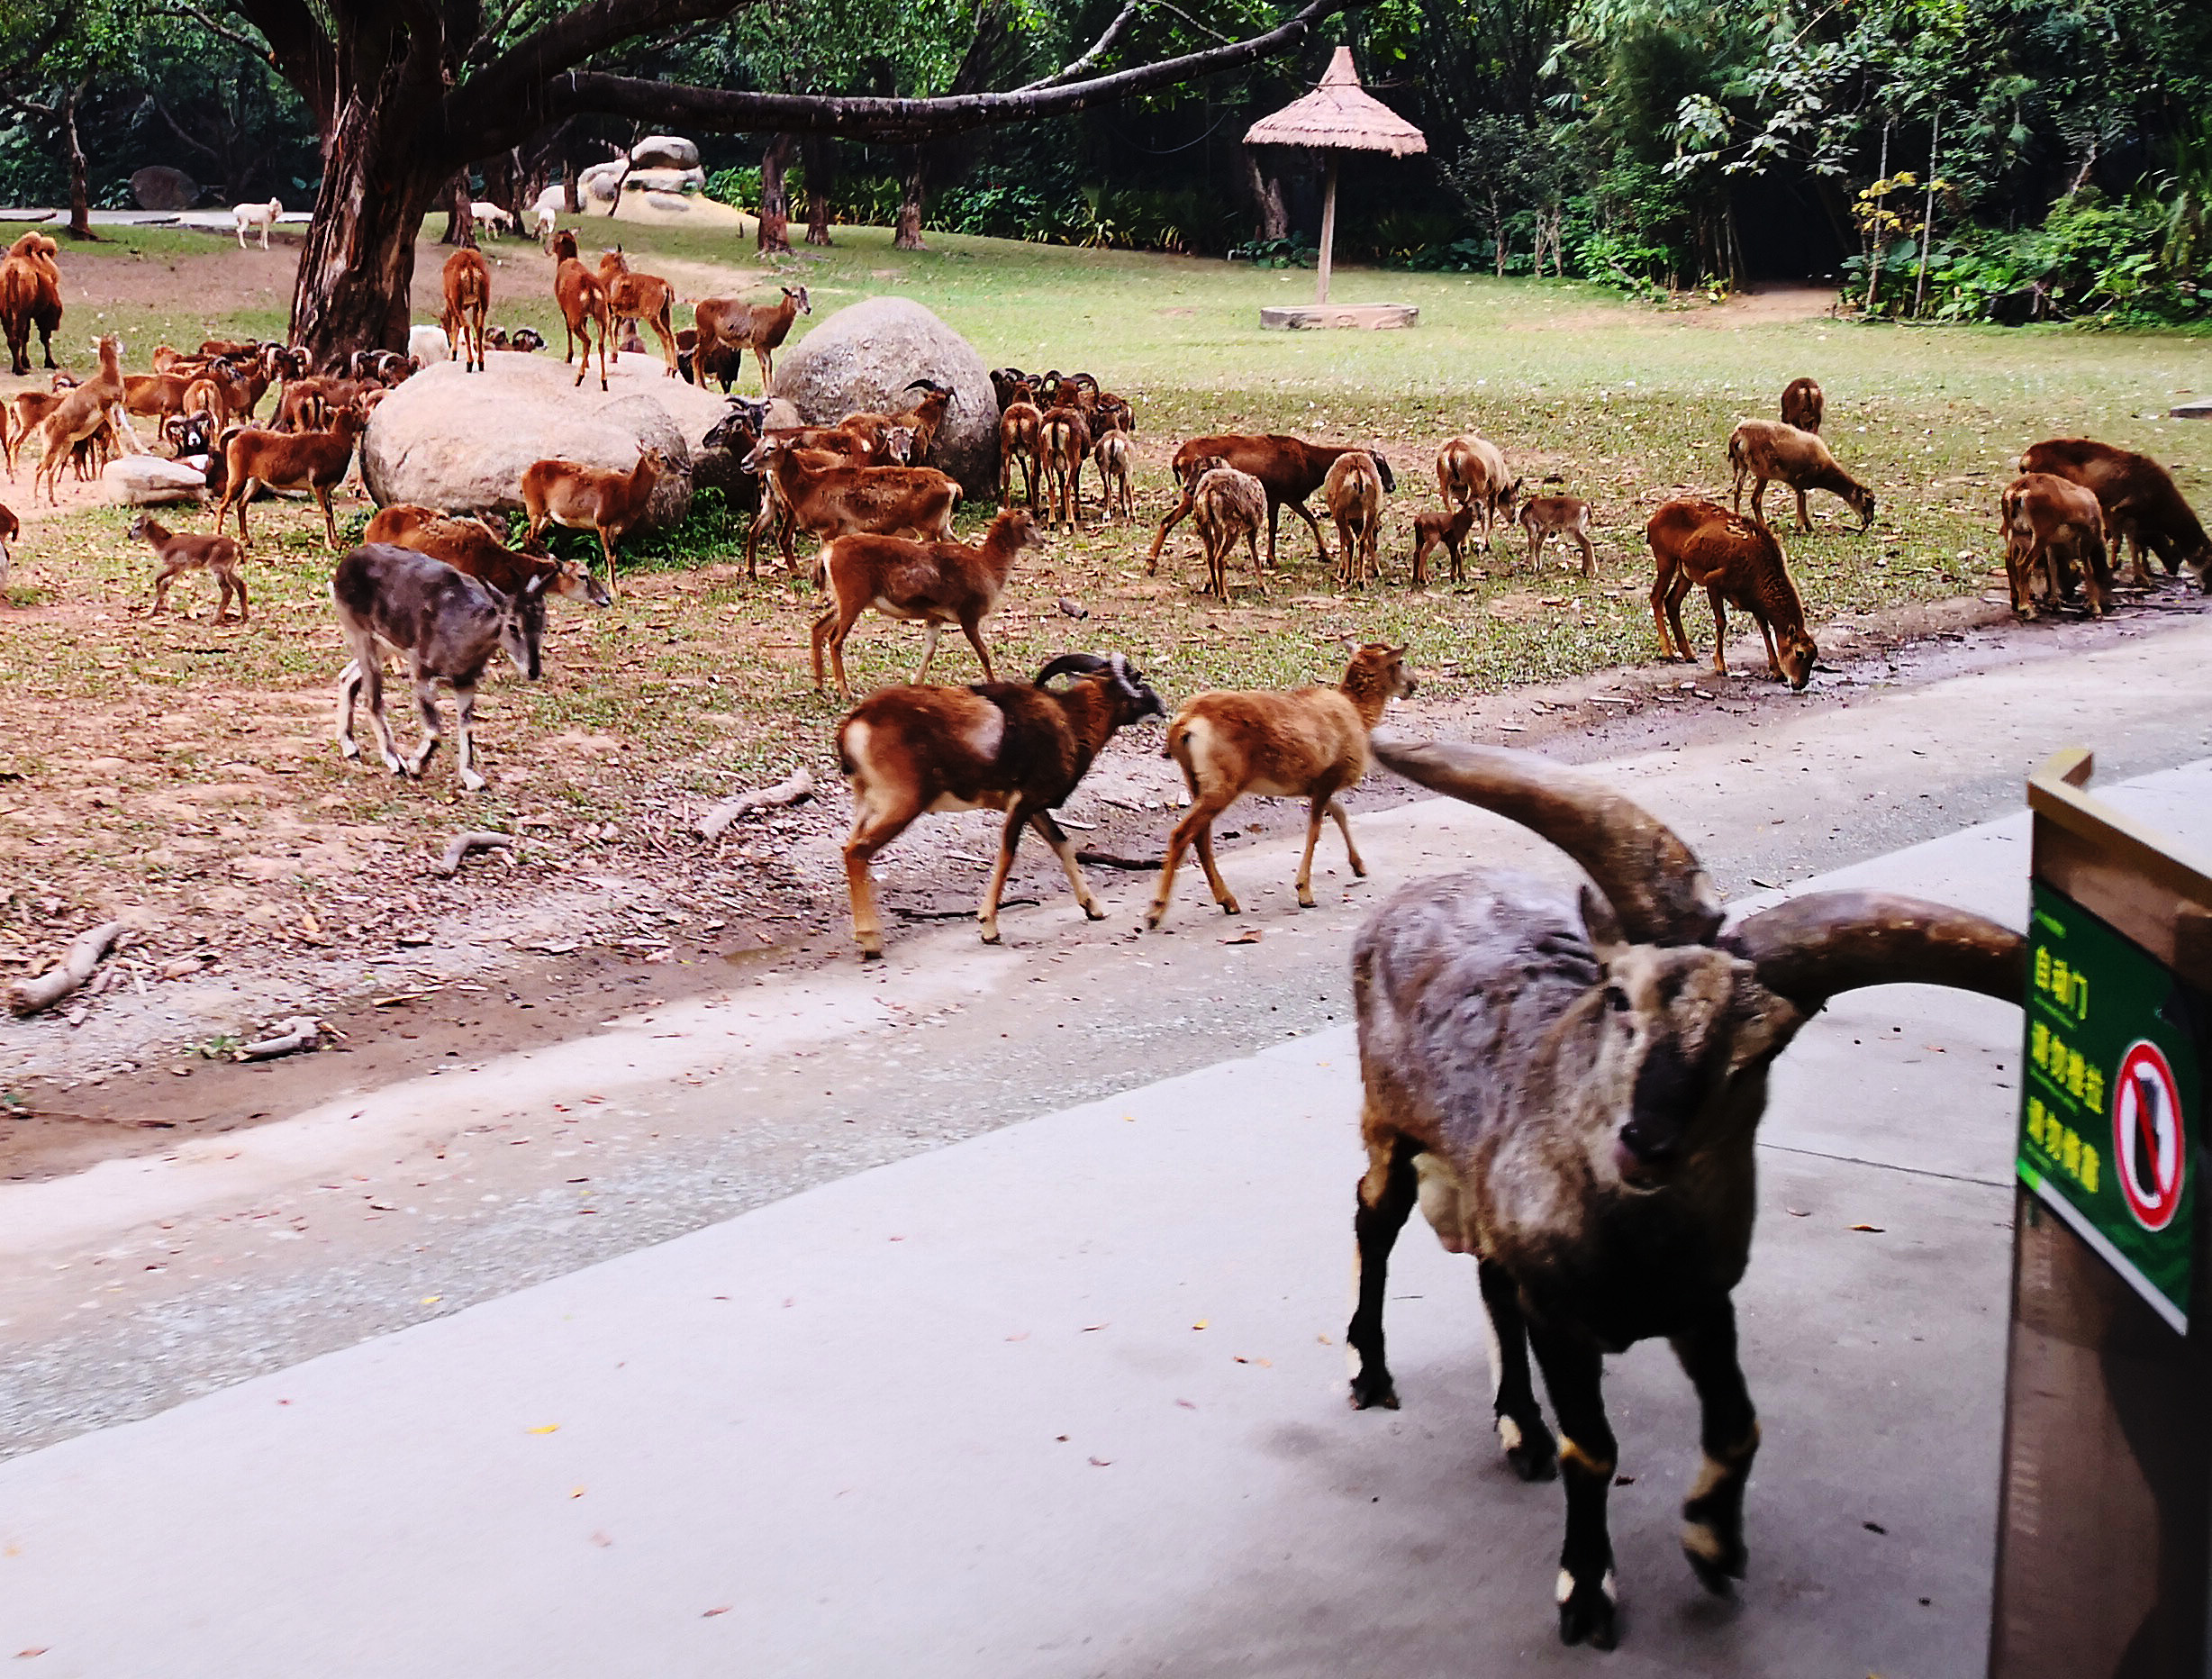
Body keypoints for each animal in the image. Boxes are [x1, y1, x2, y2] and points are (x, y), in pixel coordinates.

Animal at [331, 544, 548, 796]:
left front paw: (472, 778)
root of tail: (344, 565)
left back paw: (350, 747)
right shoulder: (420, 670)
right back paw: (394, 761)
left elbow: (467, 726)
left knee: (348, 677)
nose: (533, 671)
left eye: (542, 625)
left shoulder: (466, 681)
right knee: (372, 699)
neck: (460, 636)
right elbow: (435, 729)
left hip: (383, 644)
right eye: (513, 625)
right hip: (361, 632)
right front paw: (415, 765)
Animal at [831, 654, 1167, 951]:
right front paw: (989, 928)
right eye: (1138, 679)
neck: (1071, 721)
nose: (1162, 706)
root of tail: (857, 724)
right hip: (902, 805)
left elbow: (1062, 844)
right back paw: (871, 942)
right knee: (857, 852)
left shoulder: (1035, 808)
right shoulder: (1022, 804)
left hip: (868, 805)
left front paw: (1094, 909)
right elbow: (1007, 855)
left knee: (849, 848)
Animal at [1345, 734, 2026, 1654]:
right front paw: (1586, 1594)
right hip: (1390, 1122)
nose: (1646, 1142)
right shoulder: (1563, 1313)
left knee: (1488, 1275)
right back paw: (1373, 1373)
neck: (1634, 1253)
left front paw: (1714, 1546)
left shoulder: (1704, 1301)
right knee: (1372, 1219)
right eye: (1619, 997)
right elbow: (1593, 1449)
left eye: (1758, 1050)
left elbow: (1738, 1423)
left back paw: (1520, 1428)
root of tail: (1403, 903)